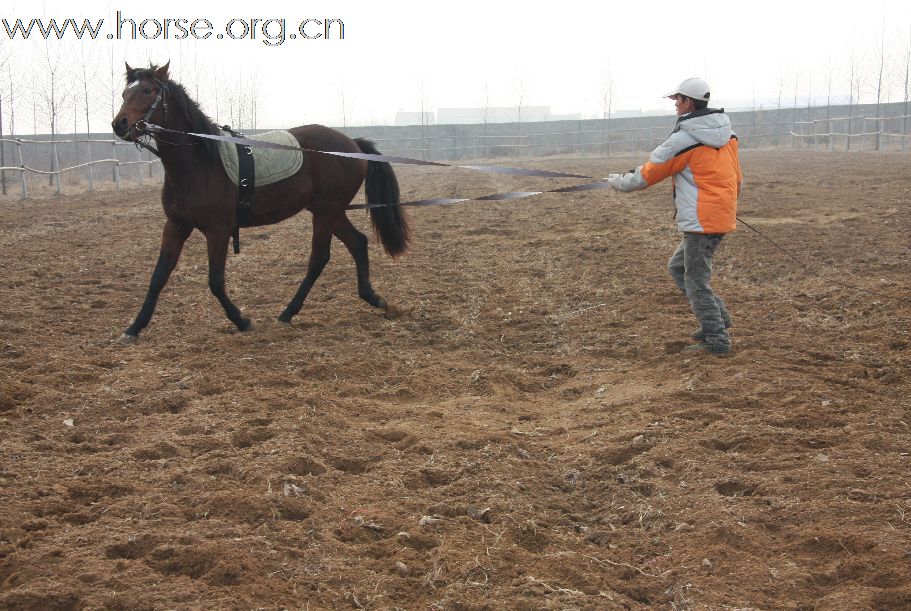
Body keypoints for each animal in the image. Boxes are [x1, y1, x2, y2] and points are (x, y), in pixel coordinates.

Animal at [111, 64, 410, 346]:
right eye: (125, 93)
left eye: (148, 91)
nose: (119, 124)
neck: (201, 161)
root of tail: (352, 144)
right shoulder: (176, 225)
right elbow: (159, 276)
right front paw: (133, 328)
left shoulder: (218, 230)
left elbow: (215, 281)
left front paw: (242, 321)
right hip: (329, 211)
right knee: (358, 242)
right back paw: (373, 298)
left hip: (326, 212)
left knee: (319, 259)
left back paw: (288, 313)